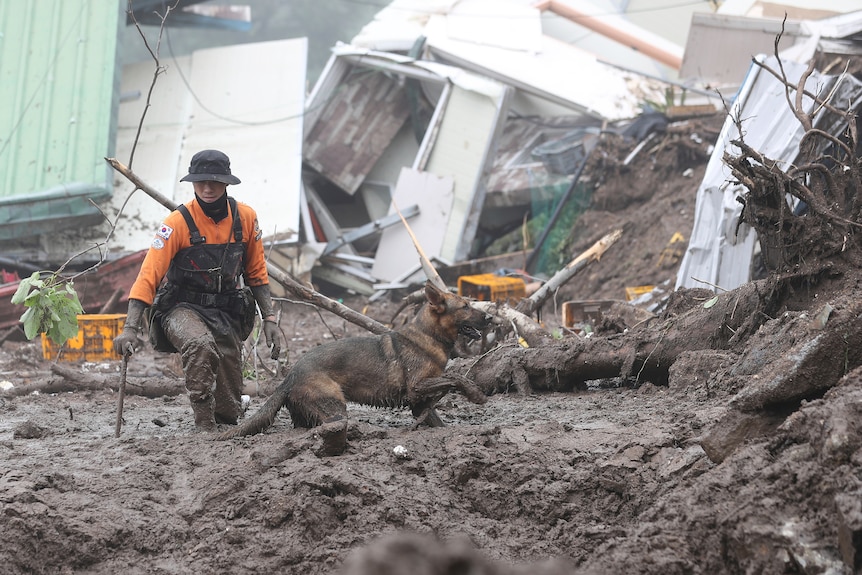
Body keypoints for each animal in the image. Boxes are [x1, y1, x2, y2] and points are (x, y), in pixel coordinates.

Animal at [219, 282, 492, 454]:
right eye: (465, 307)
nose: (490, 317)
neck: (429, 336)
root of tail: (291, 375)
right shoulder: (417, 387)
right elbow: (455, 375)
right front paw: (475, 393)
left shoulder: (420, 404)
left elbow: (438, 418)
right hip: (335, 407)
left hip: (308, 414)